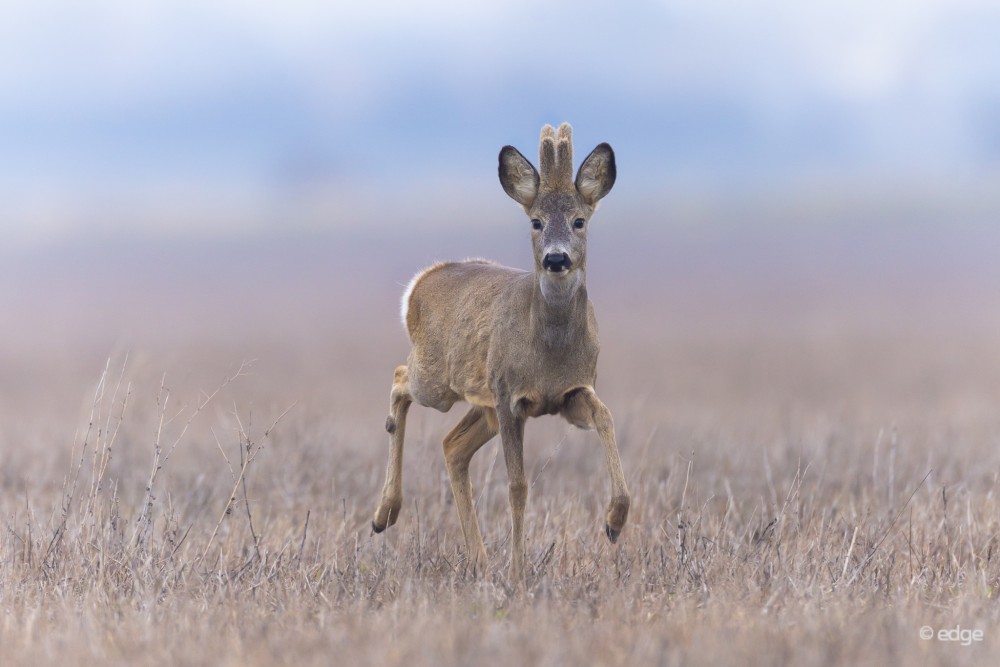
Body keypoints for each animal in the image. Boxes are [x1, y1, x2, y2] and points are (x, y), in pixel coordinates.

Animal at [372, 124, 628, 584]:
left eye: (579, 220)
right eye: (536, 221)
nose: (556, 258)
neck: (549, 353)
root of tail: (422, 280)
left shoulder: (571, 393)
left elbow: (604, 416)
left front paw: (615, 521)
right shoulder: (511, 396)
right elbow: (518, 485)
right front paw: (519, 572)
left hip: (483, 402)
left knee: (452, 446)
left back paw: (478, 560)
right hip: (439, 381)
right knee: (400, 379)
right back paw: (384, 514)